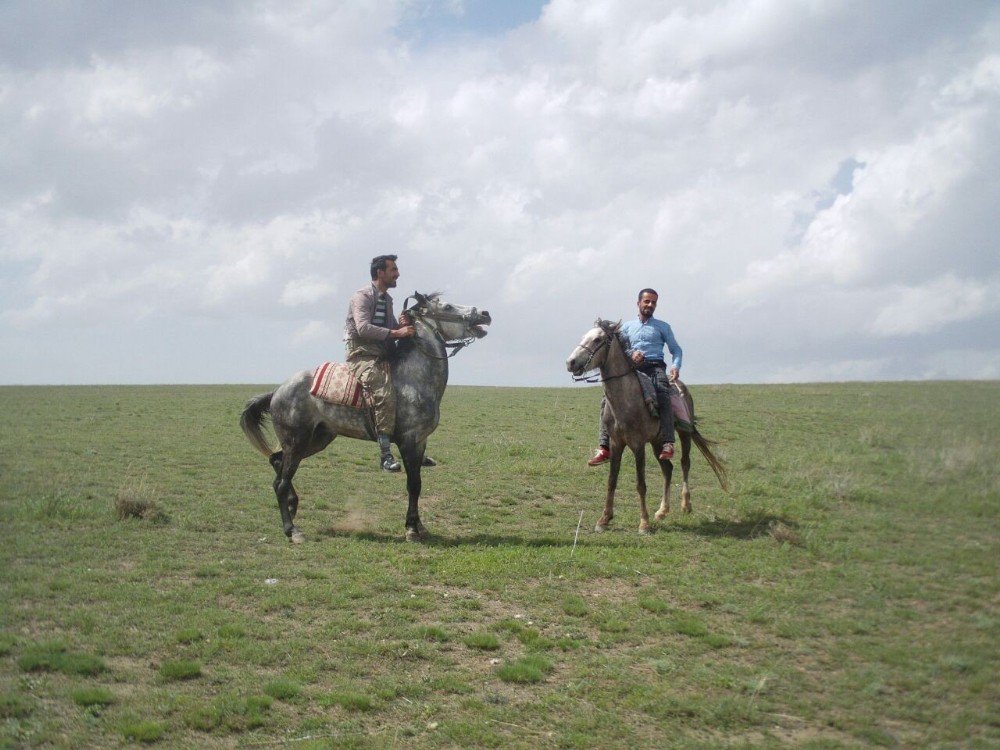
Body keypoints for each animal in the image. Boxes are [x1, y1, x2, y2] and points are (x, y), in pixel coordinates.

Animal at [242, 290, 492, 544]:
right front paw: (411, 529)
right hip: (297, 441)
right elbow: (413, 484)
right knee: (282, 482)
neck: (414, 380)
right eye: (448, 306)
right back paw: (292, 530)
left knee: (276, 464)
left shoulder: (421, 442)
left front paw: (420, 527)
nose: (485, 314)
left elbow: (418, 484)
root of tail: (277, 391)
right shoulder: (408, 441)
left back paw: (293, 505)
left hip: (316, 439)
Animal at [564, 322, 728, 536]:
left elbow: (641, 484)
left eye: (598, 339)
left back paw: (685, 505)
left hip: (684, 433)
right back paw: (662, 511)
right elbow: (611, 481)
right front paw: (604, 519)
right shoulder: (617, 443)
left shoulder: (638, 444)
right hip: (658, 441)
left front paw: (644, 523)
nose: (571, 362)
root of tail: (680, 384)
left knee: (685, 463)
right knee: (668, 468)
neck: (626, 399)